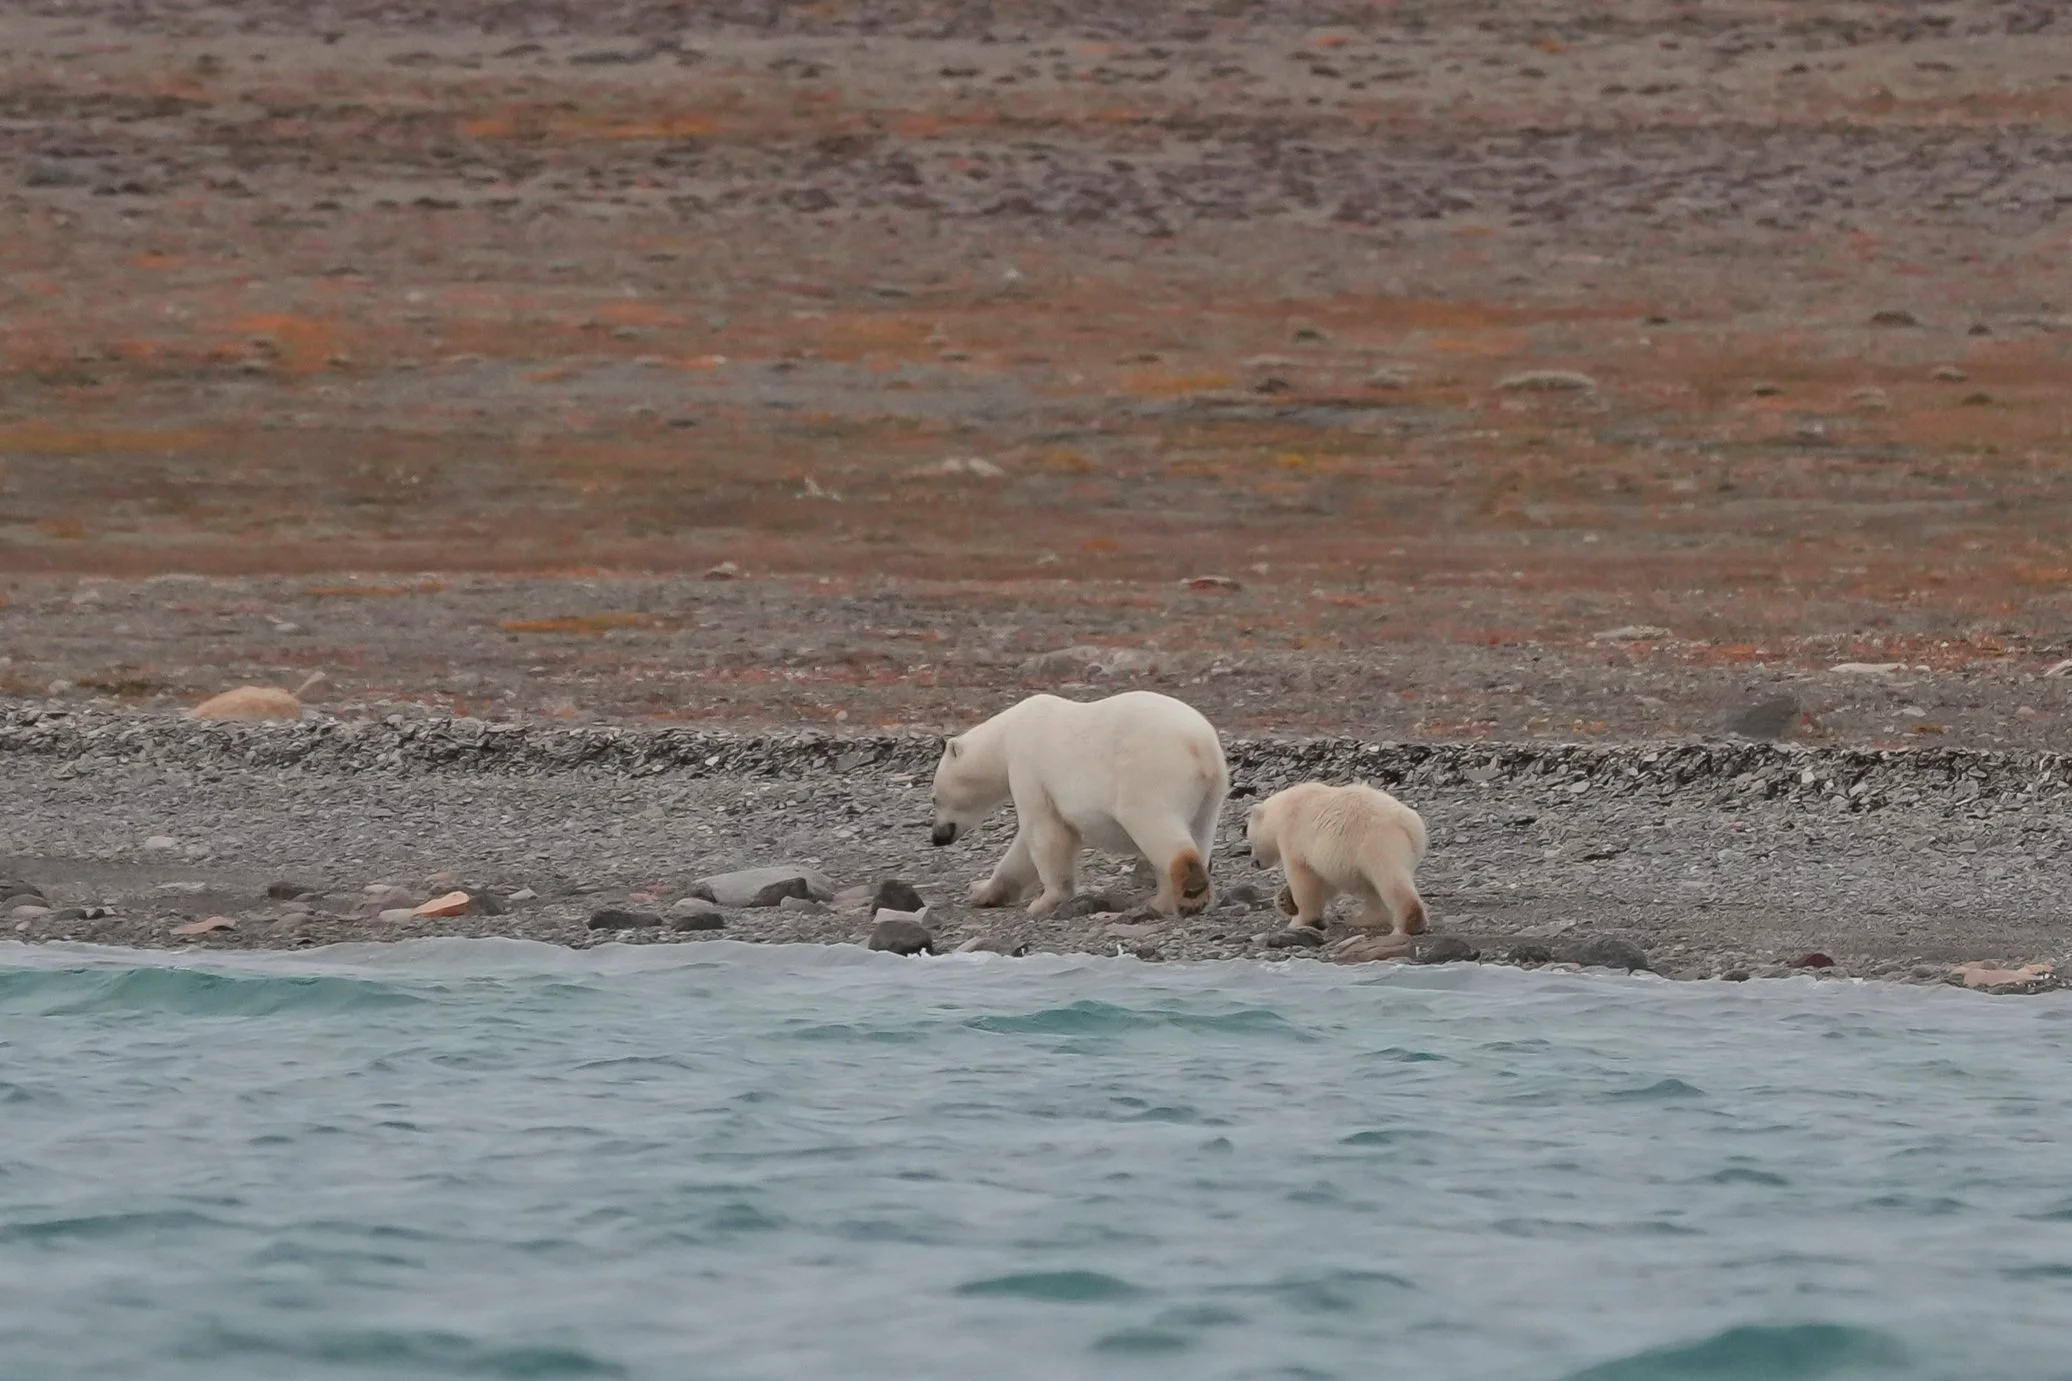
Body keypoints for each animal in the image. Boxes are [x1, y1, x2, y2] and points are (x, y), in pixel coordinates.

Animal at [929, 690, 1229, 917]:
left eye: (934, 797)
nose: (937, 836)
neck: (1007, 735)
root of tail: (1199, 746)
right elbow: (1022, 849)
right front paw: (981, 891)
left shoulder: (1028, 767)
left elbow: (1045, 834)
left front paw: (1044, 901)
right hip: (1211, 794)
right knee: (1200, 832)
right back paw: (1166, 900)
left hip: (1148, 774)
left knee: (1157, 828)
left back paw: (1182, 895)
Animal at [1244, 781, 1429, 934]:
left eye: (1250, 838)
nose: (1254, 862)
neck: (1281, 809)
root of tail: (1409, 825)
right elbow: (1325, 880)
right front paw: (1284, 900)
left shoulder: (1292, 835)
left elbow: (1304, 879)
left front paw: (1299, 920)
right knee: (1374, 888)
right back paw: (1364, 918)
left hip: (1376, 843)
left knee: (1390, 880)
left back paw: (1409, 922)